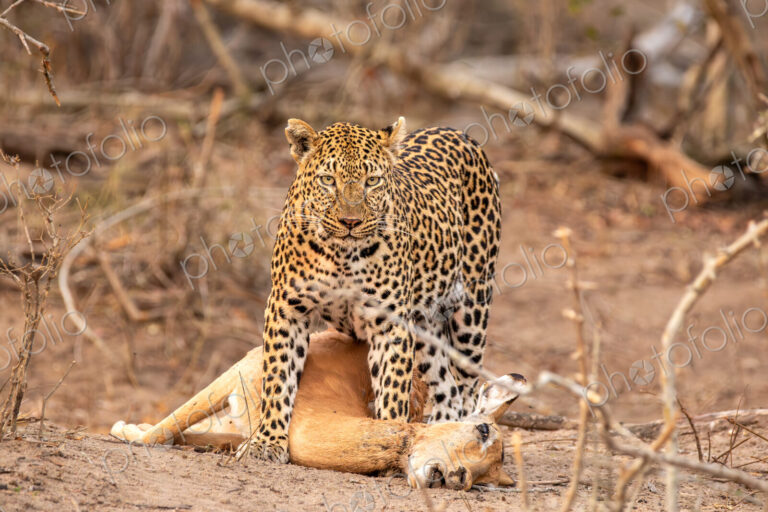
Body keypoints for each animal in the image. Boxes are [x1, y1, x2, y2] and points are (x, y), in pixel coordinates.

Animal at [111, 330, 524, 490]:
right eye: (483, 431)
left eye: (476, 480)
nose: (451, 477)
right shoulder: (237, 373)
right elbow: (169, 425)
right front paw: (129, 432)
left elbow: (189, 433)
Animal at [250, 116, 501, 463]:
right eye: (328, 180)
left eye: (372, 181)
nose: (350, 221)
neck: (341, 255)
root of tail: (458, 132)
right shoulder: (287, 310)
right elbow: (277, 379)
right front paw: (267, 441)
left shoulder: (391, 324)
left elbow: (393, 390)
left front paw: (391, 438)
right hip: (426, 328)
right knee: (446, 388)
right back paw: (438, 430)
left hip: (472, 313)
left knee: (465, 389)